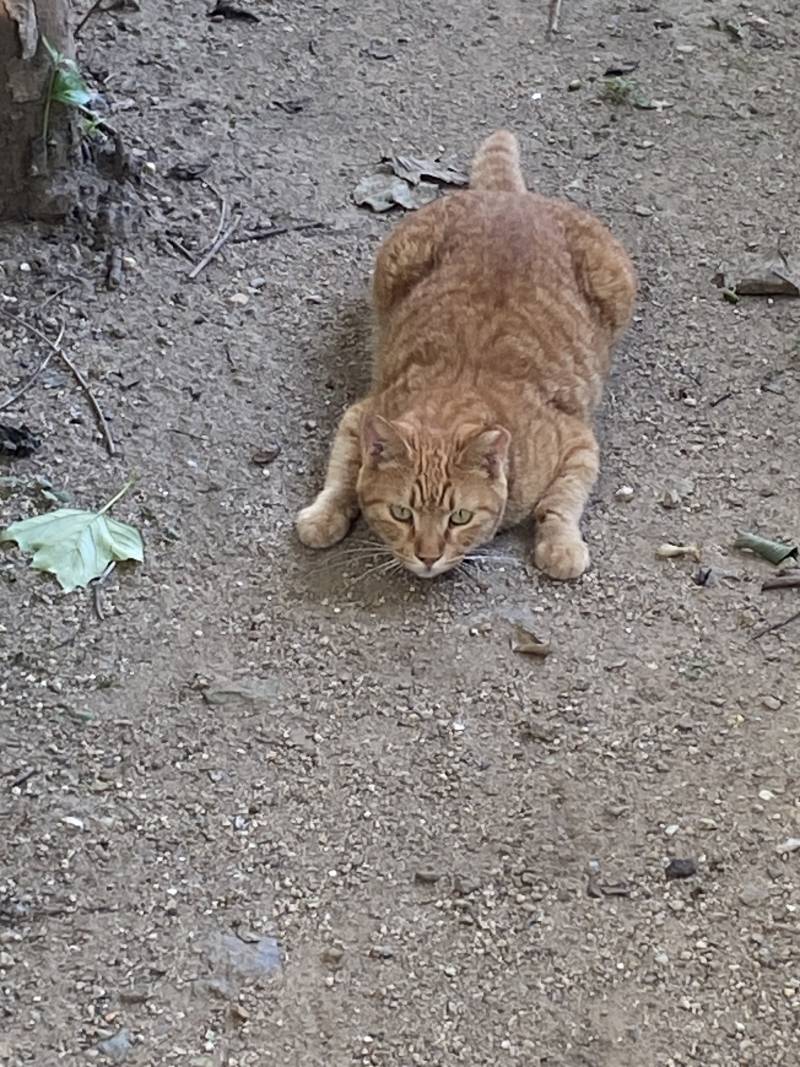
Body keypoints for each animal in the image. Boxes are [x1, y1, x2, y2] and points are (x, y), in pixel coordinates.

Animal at [298, 134, 635, 584]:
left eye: (459, 517)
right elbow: (342, 475)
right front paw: (325, 515)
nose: (427, 556)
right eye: (401, 513)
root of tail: (508, 198)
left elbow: (561, 502)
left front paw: (560, 546)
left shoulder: (577, 441)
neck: (453, 401)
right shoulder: (360, 415)